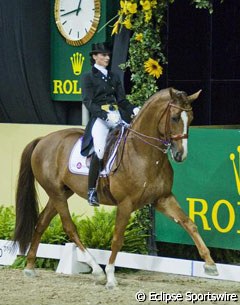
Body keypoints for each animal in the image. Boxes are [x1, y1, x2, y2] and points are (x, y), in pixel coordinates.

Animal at [14, 87, 218, 288]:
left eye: (191, 118)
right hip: (56, 193)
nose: (180, 155)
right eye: (175, 117)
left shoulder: (163, 198)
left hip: (61, 192)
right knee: (69, 227)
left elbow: (189, 223)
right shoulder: (125, 204)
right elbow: (117, 239)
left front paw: (210, 265)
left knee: (42, 222)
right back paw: (97, 271)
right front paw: (111, 277)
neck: (143, 154)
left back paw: (30, 266)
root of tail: (43, 140)